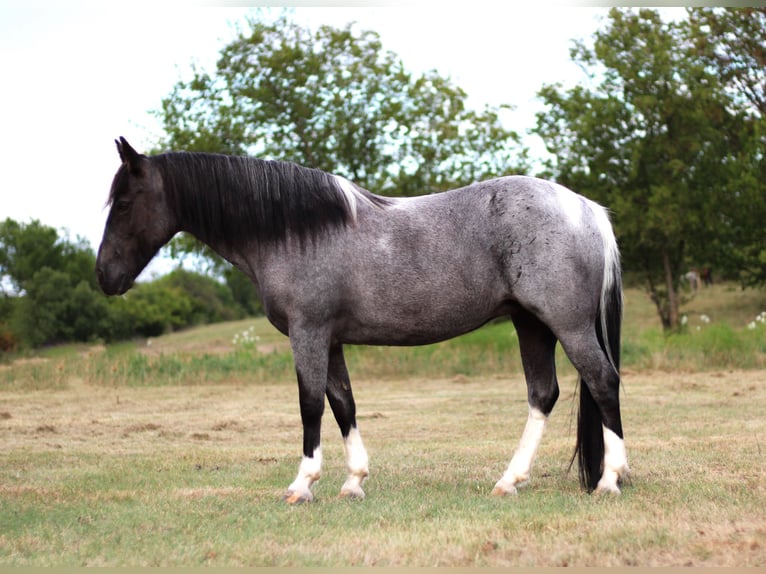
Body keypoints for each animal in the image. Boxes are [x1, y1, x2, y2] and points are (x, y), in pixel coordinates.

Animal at [96, 138, 632, 504]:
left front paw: (302, 484)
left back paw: (609, 479)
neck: (295, 231)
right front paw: (353, 481)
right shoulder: (330, 340)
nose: (103, 275)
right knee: (543, 395)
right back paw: (509, 481)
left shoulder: (308, 333)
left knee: (603, 381)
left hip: (567, 325)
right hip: (531, 324)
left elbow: (310, 404)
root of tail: (586, 210)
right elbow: (343, 404)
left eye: (123, 203)